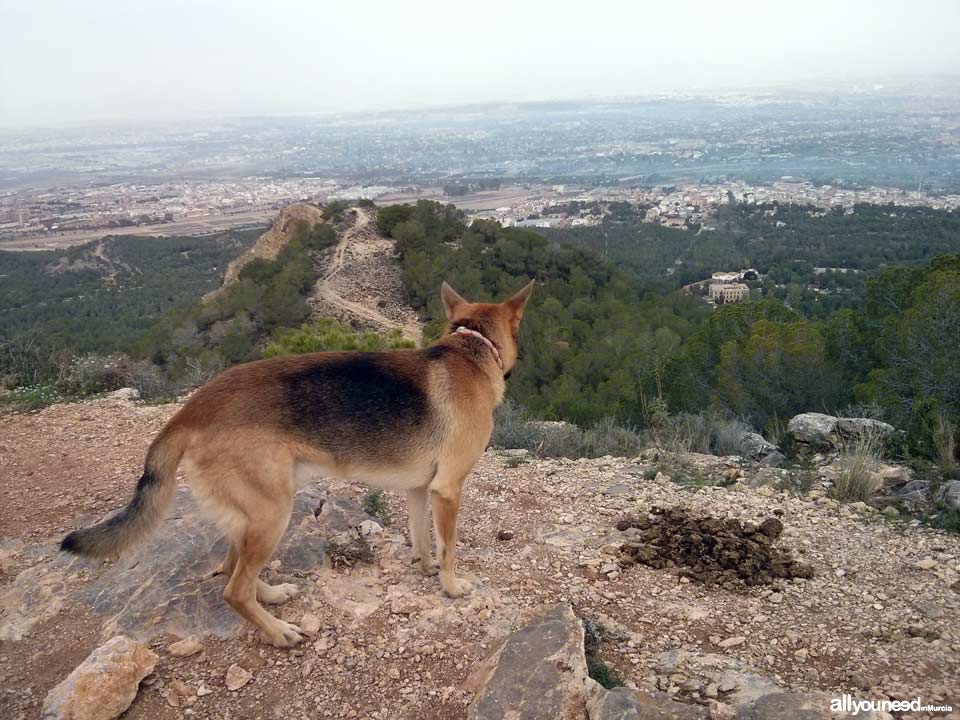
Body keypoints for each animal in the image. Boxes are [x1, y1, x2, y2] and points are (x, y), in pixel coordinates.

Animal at [62, 280, 532, 648]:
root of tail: (190, 409)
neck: (472, 347)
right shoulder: (447, 490)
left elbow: (421, 538)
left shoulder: (421, 490)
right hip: (273, 512)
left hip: (251, 516)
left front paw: (426, 567)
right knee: (233, 590)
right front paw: (451, 586)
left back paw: (270, 597)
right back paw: (278, 632)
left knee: (233, 570)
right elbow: (449, 547)